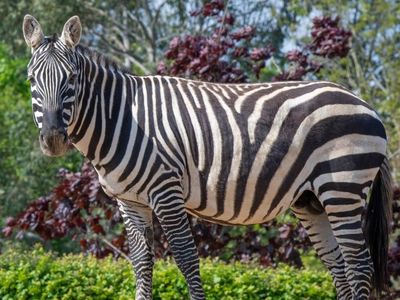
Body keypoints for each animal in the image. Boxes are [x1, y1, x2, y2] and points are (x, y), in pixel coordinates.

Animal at [22, 14, 390, 300]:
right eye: (31, 79)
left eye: (71, 79)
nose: (53, 139)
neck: (121, 118)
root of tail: (366, 105)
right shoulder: (130, 201)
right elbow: (141, 263)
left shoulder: (165, 191)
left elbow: (186, 258)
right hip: (311, 200)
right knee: (339, 266)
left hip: (341, 187)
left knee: (359, 265)